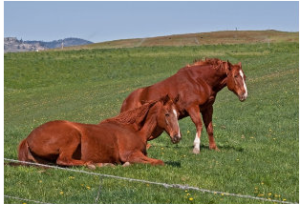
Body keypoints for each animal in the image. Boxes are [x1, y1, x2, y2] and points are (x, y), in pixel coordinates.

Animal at [18, 95, 180, 167]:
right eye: (167, 114)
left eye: (177, 113)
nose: (177, 137)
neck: (134, 130)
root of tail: (28, 138)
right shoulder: (130, 155)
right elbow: (159, 162)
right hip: (73, 137)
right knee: (64, 160)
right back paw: (97, 164)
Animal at [120, 58, 248, 154]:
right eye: (235, 76)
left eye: (244, 77)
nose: (244, 94)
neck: (198, 81)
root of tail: (126, 101)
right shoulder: (192, 108)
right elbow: (199, 124)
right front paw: (196, 148)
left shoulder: (207, 108)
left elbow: (209, 128)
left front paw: (214, 147)